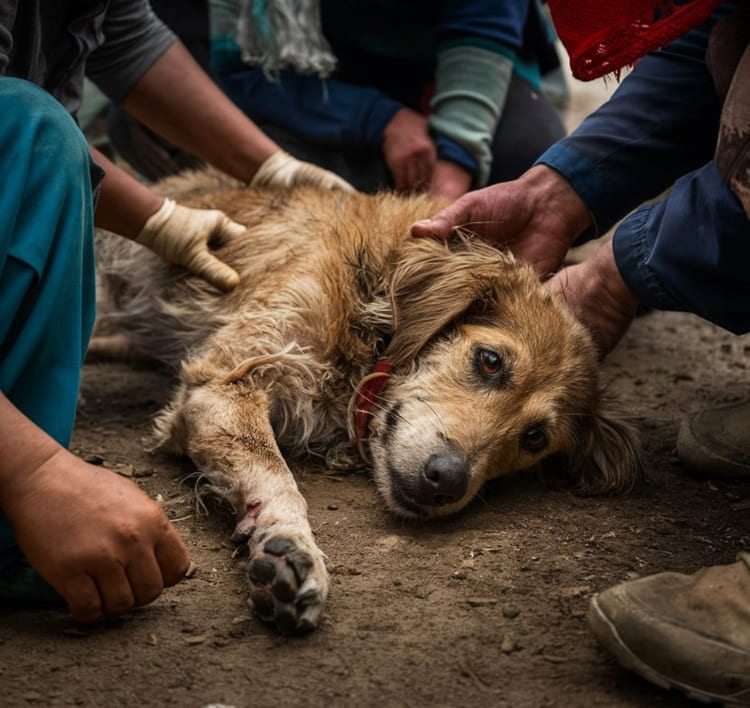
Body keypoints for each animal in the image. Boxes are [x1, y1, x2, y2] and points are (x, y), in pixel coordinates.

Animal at [94, 170, 644, 636]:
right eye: (490, 361)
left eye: (535, 438)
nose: (447, 481)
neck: (375, 316)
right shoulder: (228, 379)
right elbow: (277, 476)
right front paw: (293, 545)